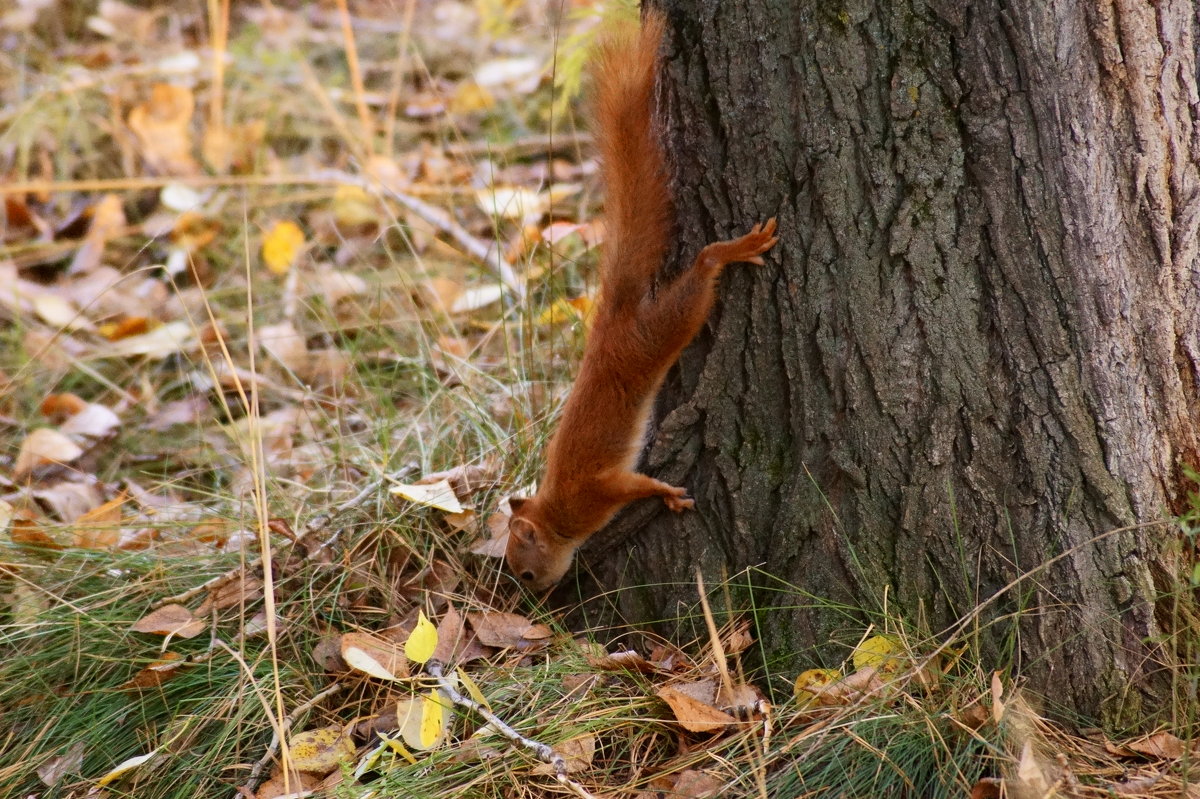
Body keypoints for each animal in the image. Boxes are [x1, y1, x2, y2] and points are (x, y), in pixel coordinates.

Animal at [504, 9, 777, 587]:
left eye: (526, 572)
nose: (533, 598)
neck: (555, 510)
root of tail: (610, 322)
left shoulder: (596, 491)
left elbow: (636, 486)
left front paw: (668, 493)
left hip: (660, 330)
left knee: (702, 272)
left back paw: (728, 252)